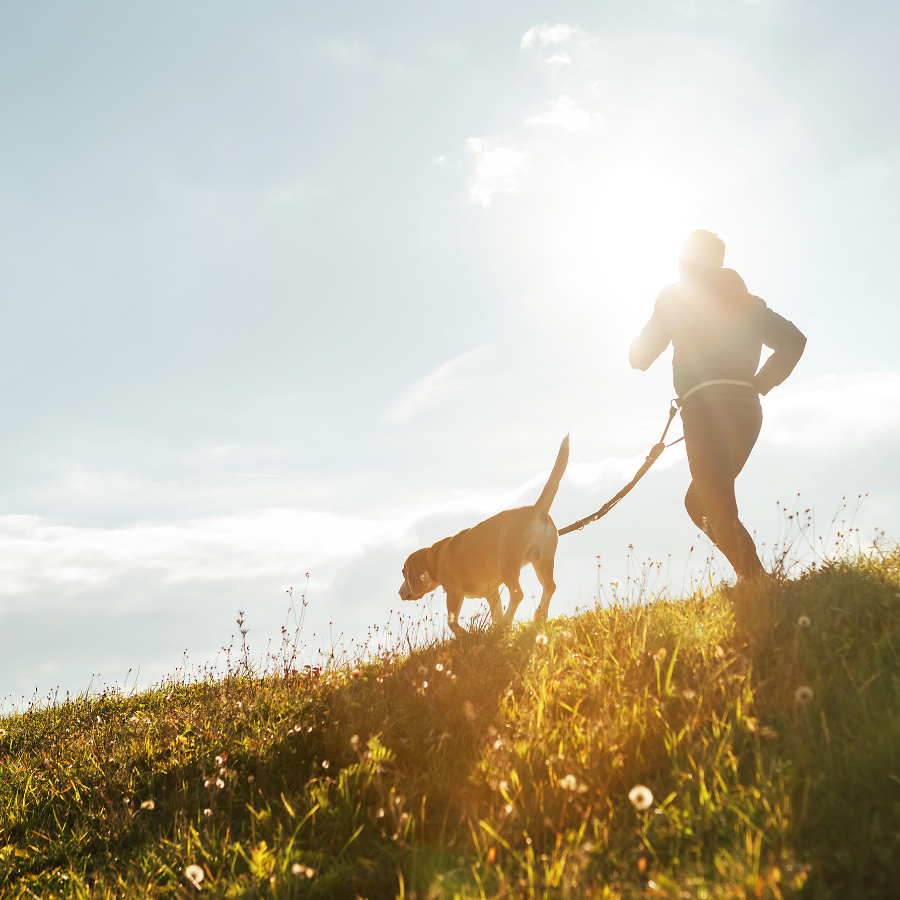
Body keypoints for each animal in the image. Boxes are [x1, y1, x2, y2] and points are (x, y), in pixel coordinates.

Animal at [396, 438, 568, 636]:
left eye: (404, 573)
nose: (399, 592)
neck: (432, 558)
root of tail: (536, 509)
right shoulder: (492, 593)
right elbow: (495, 613)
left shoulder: (454, 592)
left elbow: (451, 621)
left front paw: (464, 635)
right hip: (543, 561)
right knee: (549, 587)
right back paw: (538, 616)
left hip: (508, 564)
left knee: (518, 594)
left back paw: (508, 620)